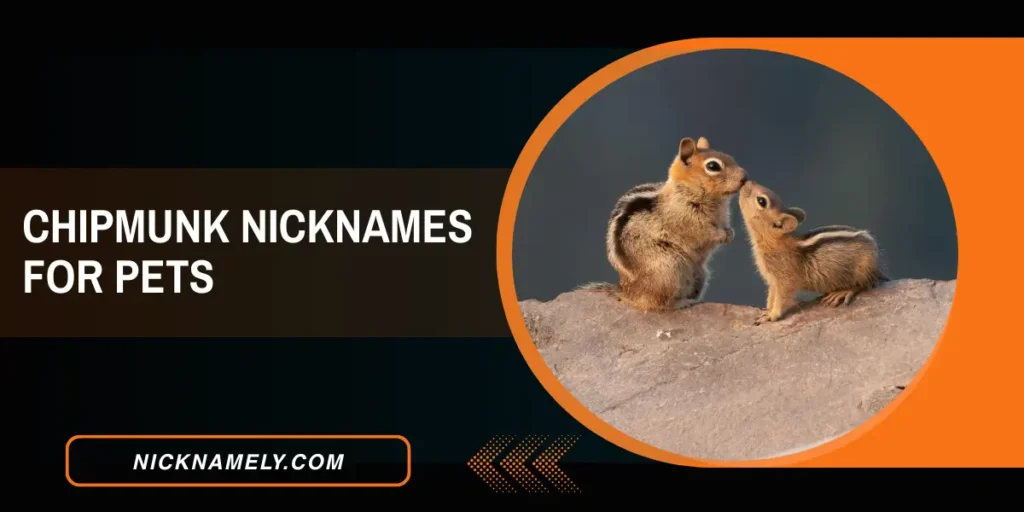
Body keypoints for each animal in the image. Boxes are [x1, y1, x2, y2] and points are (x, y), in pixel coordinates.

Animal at [580, 136, 748, 312]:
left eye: (730, 157)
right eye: (713, 166)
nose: (745, 177)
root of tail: (628, 292)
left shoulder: (722, 217)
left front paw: (730, 234)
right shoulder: (687, 219)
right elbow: (704, 232)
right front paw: (721, 235)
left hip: (700, 274)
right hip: (669, 268)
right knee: (658, 304)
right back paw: (682, 303)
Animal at [736, 179, 889, 325]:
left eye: (761, 201)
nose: (746, 181)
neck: (774, 241)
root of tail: (877, 267)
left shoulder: (785, 278)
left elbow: (782, 297)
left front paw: (772, 315)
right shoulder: (773, 280)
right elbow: (772, 296)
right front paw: (767, 310)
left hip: (863, 270)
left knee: (863, 285)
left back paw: (843, 292)